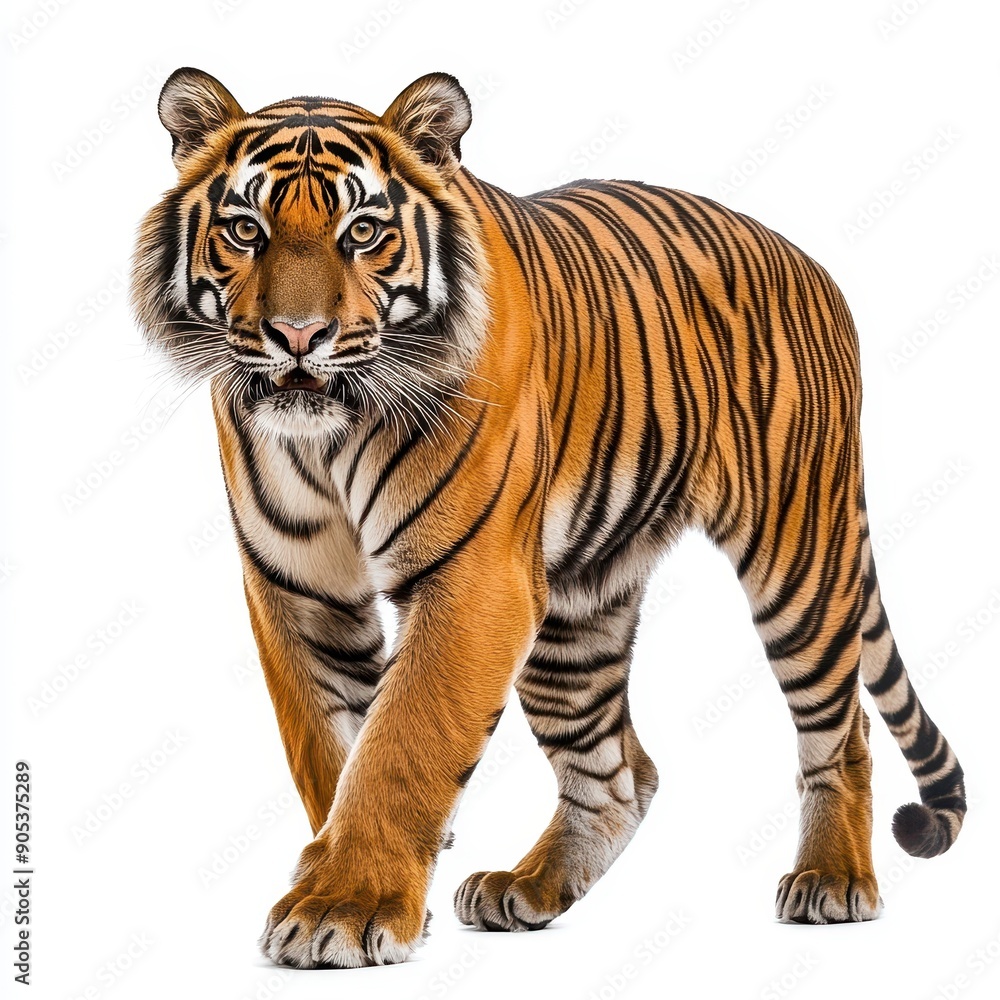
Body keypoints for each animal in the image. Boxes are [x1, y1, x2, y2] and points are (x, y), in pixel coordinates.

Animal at [131, 67, 967, 969]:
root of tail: (812, 264)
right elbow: (332, 749)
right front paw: (364, 885)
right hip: (578, 605)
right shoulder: (296, 587)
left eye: (363, 231)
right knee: (621, 772)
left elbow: (401, 745)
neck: (329, 435)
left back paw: (832, 879)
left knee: (841, 728)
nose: (297, 335)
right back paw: (525, 890)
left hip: (799, 558)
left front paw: (341, 909)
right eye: (246, 230)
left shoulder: (473, 580)